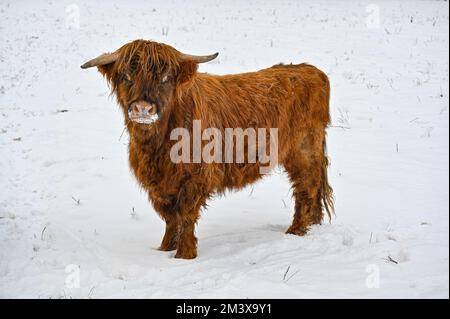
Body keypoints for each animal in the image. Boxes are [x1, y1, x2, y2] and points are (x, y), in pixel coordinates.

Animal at [81, 40, 334, 260]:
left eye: (165, 78)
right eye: (126, 76)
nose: (143, 108)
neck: (157, 145)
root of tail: (310, 70)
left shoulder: (196, 176)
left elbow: (186, 214)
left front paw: (184, 254)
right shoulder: (158, 183)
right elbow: (169, 216)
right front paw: (164, 248)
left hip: (303, 150)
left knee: (306, 187)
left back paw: (296, 231)